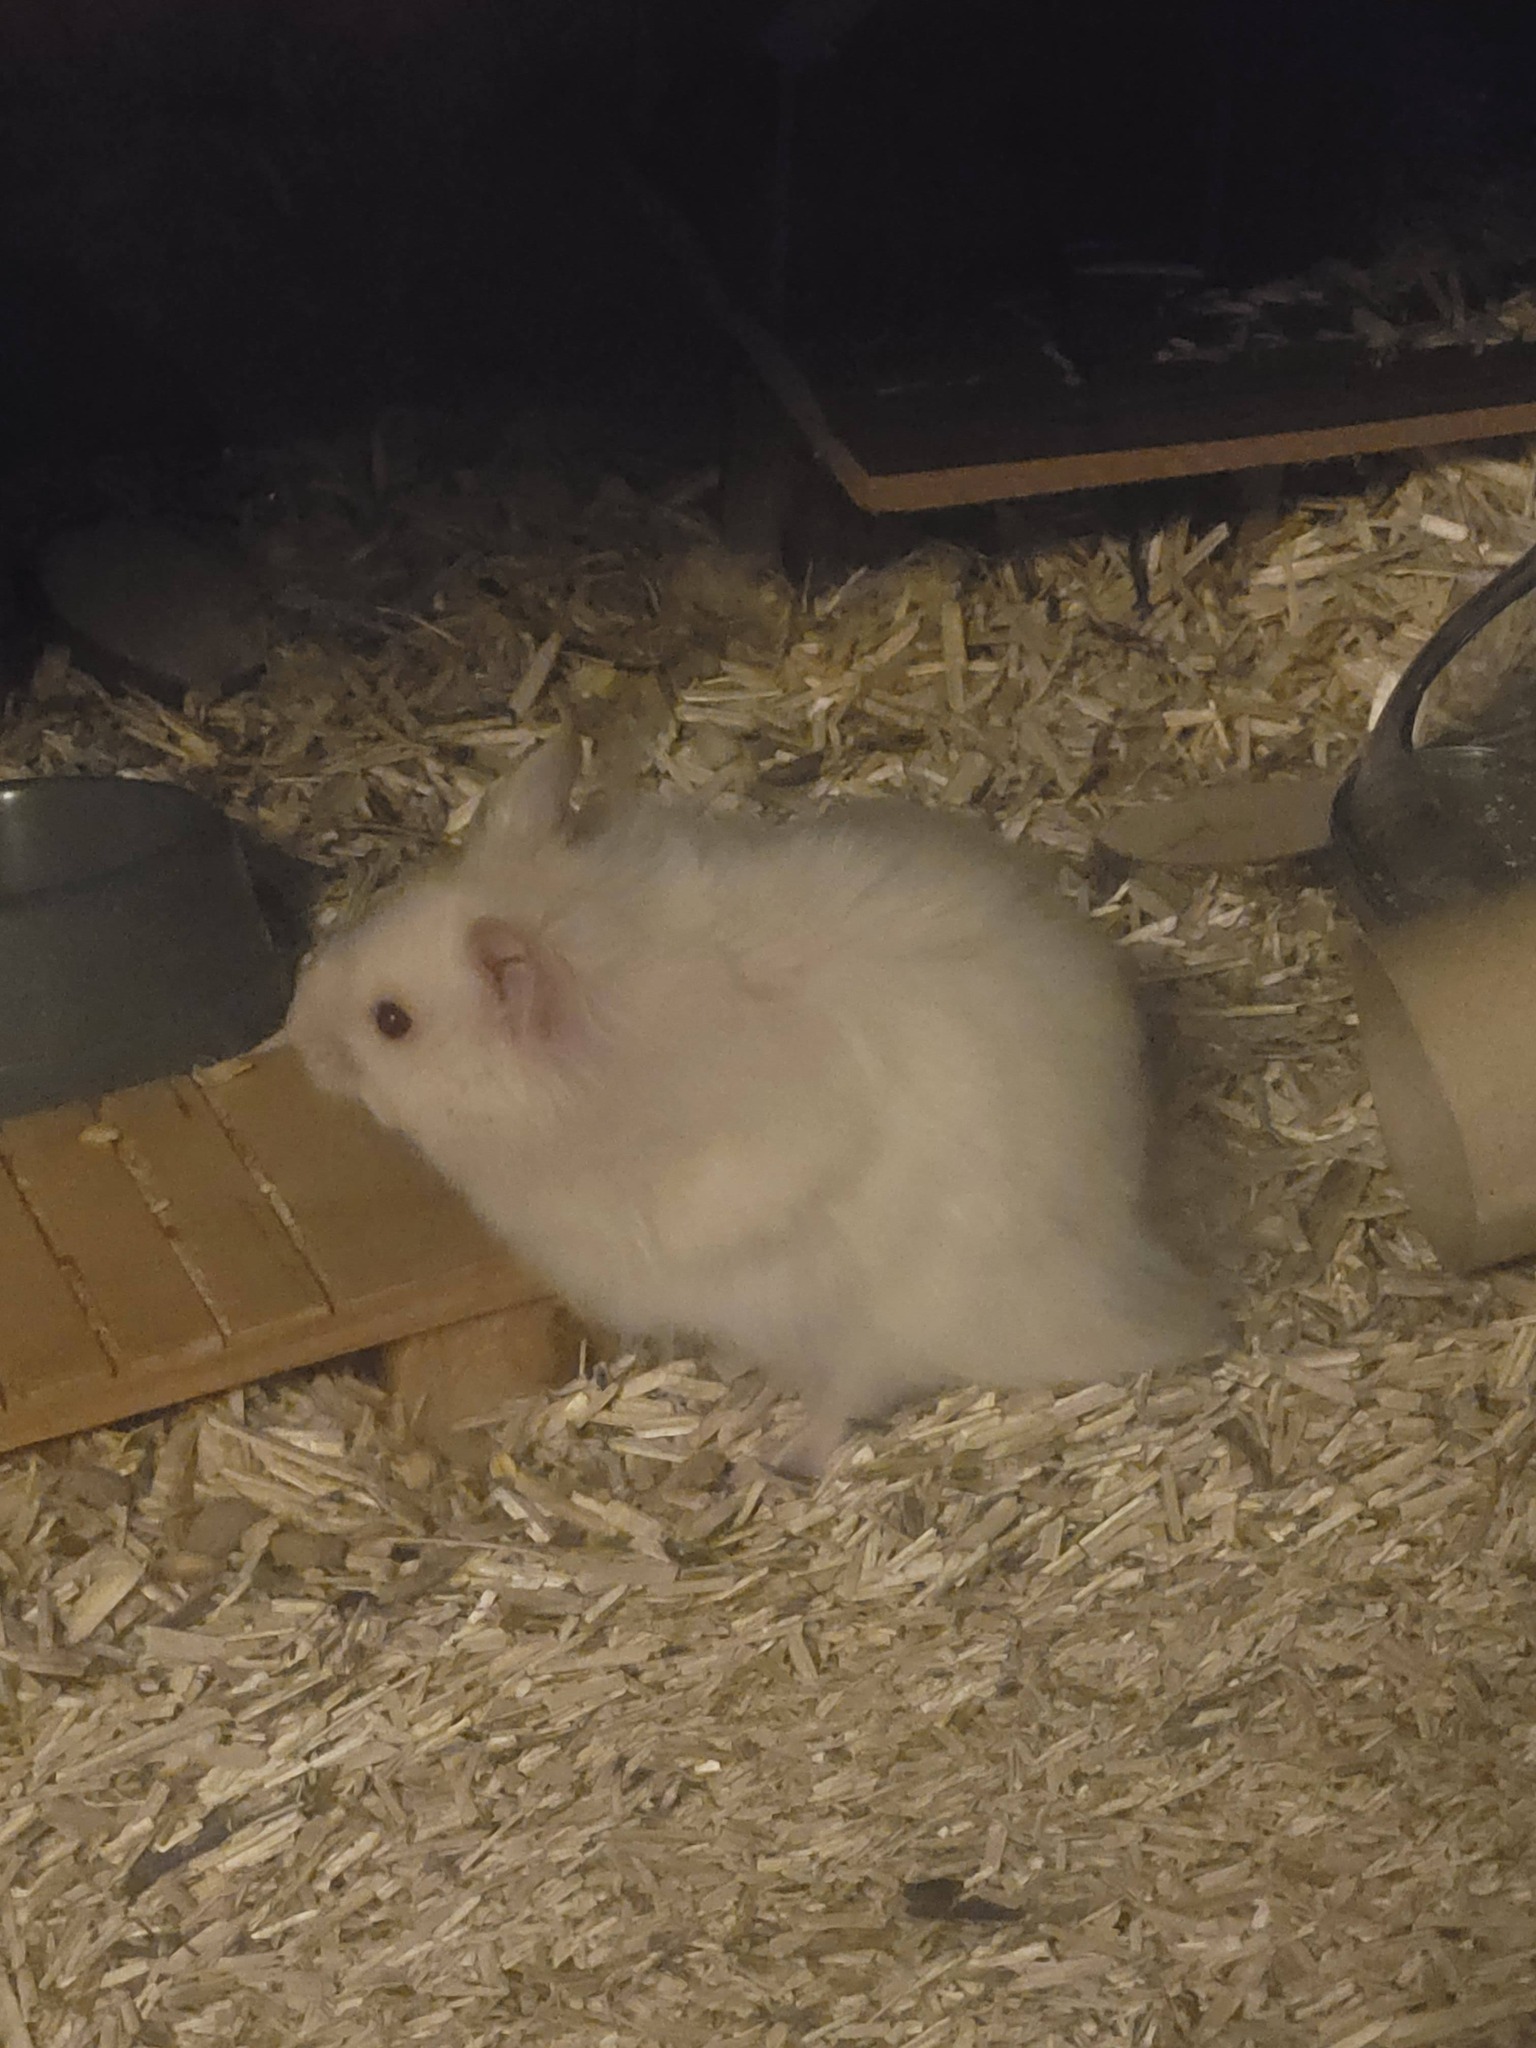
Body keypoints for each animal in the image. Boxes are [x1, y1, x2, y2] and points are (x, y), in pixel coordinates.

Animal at [285, 733, 1225, 1473]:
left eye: (392, 1021)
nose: (292, 1032)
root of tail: (1115, 1290)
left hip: (880, 1312)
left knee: (851, 1391)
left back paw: (778, 1448)